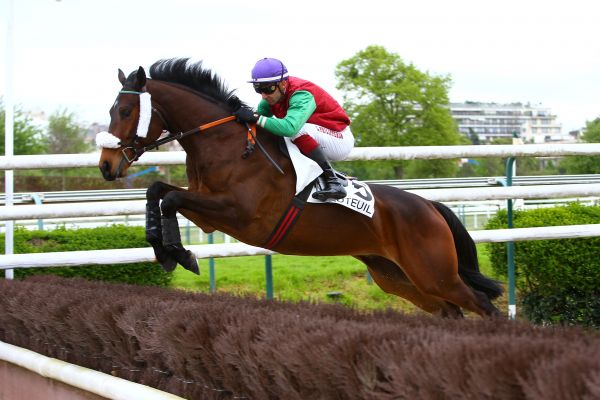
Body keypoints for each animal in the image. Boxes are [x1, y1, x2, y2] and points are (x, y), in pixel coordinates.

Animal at [98, 57, 502, 318]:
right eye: (112, 110)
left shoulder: (236, 213)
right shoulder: (209, 214)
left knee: (481, 304)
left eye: (125, 111)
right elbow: (158, 191)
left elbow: (170, 197)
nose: (106, 165)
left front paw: (180, 254)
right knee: (451, 311)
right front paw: (165, 250)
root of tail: (430, 207)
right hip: (400, 277)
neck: (228, 145)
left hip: (434, 272)